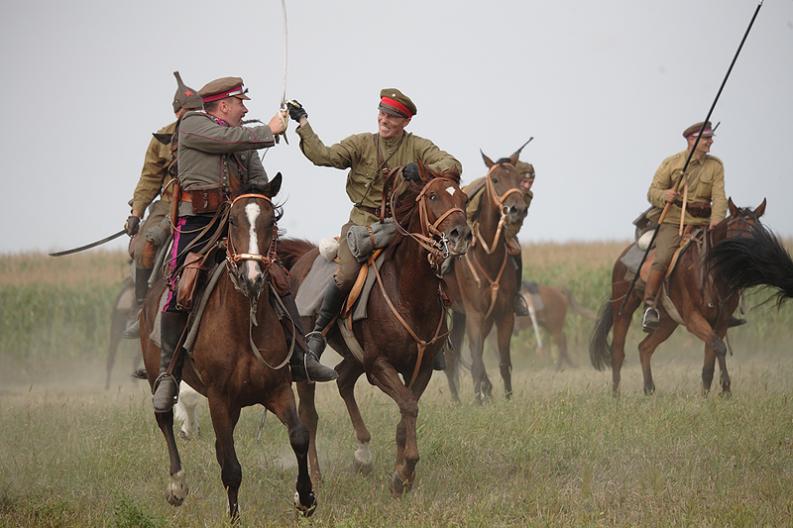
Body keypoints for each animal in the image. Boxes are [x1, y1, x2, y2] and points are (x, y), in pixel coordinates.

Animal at [141, 176, 318, 520]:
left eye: (271, 221)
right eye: (233, 221)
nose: (253, 278)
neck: (242, 325)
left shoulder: (277, 390)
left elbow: (299, 436)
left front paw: (305, 497)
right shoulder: (219, 399)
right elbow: (232, 468)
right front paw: (234, 516)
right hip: (161, 377)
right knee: (165, 418)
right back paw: (177, 485)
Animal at [280, 171, 470, 498]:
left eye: (464, 198)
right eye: (433, 196)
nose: (461, 234)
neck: (410, 292)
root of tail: (303, 258)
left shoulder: (420, 369)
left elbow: (405, 414)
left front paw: (401, 477)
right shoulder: (379, 366)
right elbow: (408, 406)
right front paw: (405, 471)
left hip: (355, 357)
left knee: (343, 379)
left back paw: (363, 457)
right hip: (312, 366)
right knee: (310, 415)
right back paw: (315, 477)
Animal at [442, 151, 528, 402]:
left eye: (519, 178)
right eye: (496, 179)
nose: (517, 209)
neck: (488, 256)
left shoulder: (504, 316)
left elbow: (504, 362)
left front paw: (507, 398)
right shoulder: (476, 315)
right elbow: (477, 358)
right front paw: (481, 395)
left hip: (463, 315)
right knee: (452, 357)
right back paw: (458, 399)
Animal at [592, 199, 764, 396]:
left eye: (759, 234)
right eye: (736, 234)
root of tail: (623, 255)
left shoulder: (720, 322)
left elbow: (711, 357)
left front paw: (709, 395)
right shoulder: (693, 319)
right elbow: (719, 347)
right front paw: (725, 389)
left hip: (667, 321)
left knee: (645, 347)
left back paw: (649, 390)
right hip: (624, 308)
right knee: (618, 352)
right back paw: (616, 395)